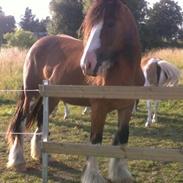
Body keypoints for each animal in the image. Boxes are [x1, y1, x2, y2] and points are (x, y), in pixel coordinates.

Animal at [6, 0, 144, 182]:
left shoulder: (126, 108)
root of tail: (36, 44)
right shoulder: (99, 109)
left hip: (52, 98)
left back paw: (41, 155)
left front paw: (120, 174)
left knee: (41, 120)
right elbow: (95, 140)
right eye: (89, 25)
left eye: (110, 23)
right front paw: (93, 176)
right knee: (21, 122)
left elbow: (122, 137)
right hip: (32, 95)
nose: (87, 64)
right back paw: (18, 161)